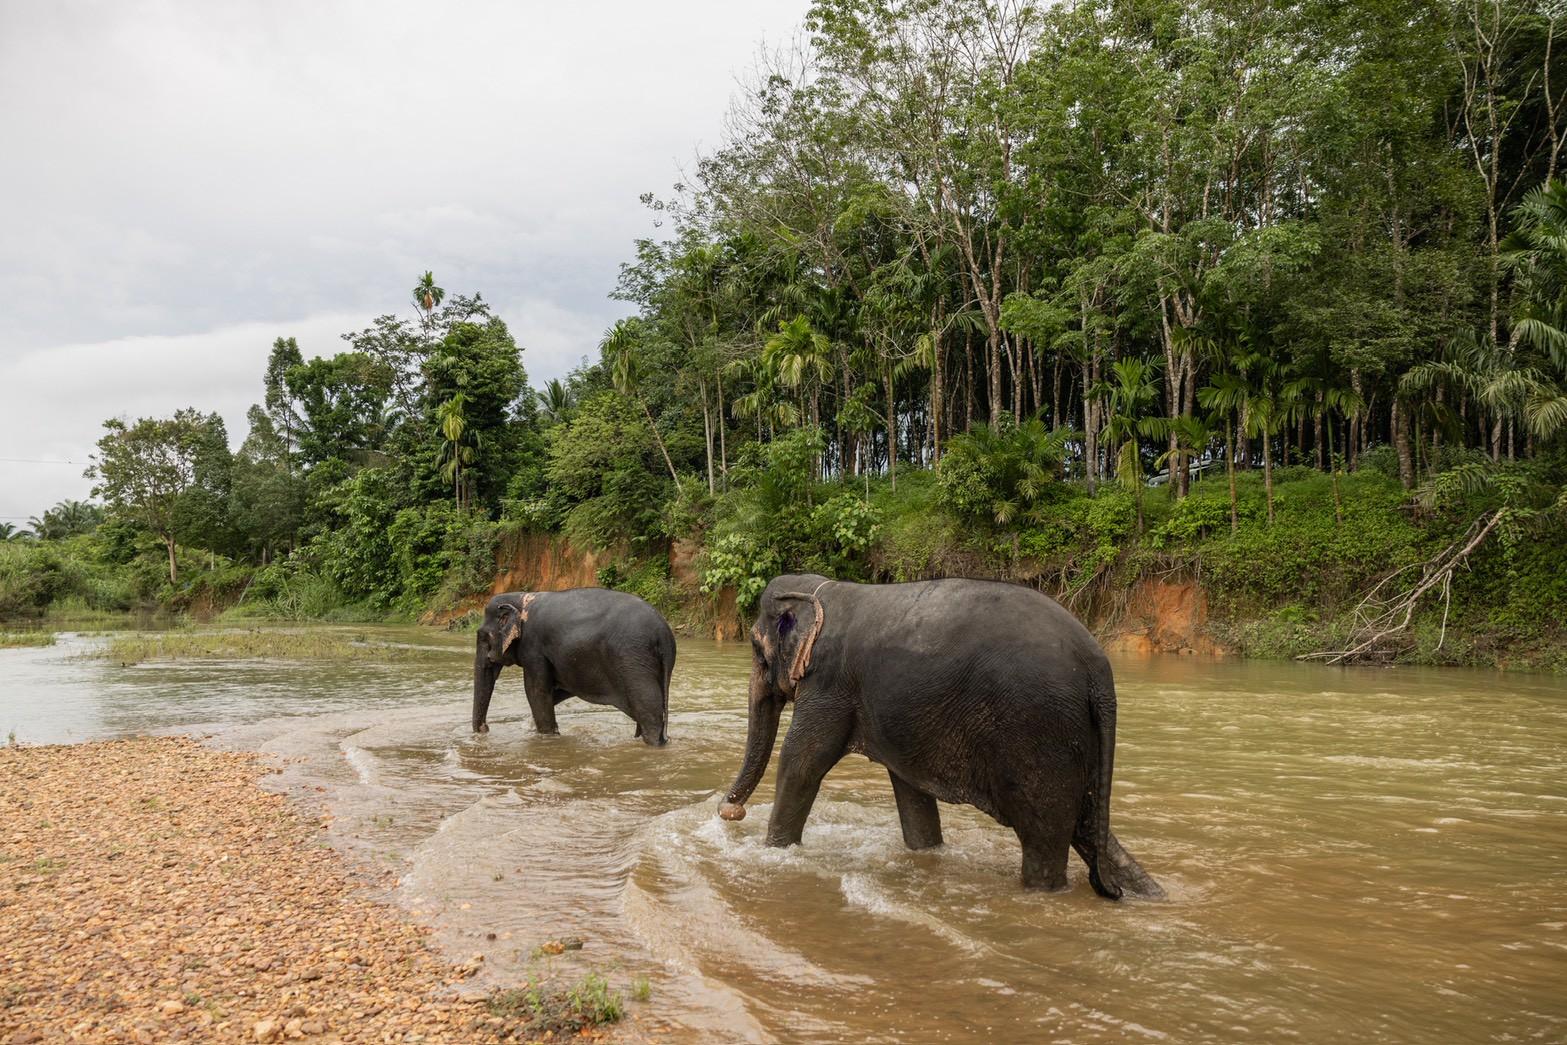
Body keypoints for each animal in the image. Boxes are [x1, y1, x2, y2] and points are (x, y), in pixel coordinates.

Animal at [472, 588, 675, 746]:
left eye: (483, 637)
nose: (485, 728)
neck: (521, 597)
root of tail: (664, 633)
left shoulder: (533, 648)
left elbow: (536, 691)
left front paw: (547, 736)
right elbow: (558, 690)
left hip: (633, 661)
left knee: (649, 711)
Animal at [717, 573, 1163, 899]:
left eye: (756, 648)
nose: (729, 810)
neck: (823, 588)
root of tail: (1098, 669)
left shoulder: (828, 683)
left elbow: (802, 763)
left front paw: (773, 853)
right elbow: (910, 791)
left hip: (1040, 732)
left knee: (1045, 835)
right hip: (1075, 735)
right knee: (1088, 827)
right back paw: (1147, 893)